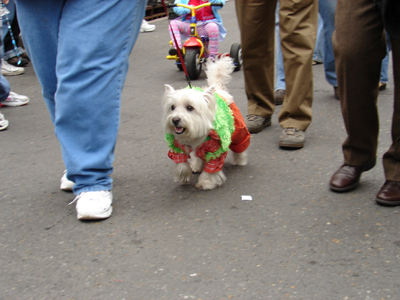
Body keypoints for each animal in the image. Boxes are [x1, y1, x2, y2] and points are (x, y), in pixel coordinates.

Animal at [161, 56, 248, 190]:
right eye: (172, 107)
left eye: (190, 107)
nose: (175, 120)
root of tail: (218, 89)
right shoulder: (177, 146)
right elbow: (181, 162)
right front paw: (183, 176)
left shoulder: (215, 151)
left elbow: (211, 168)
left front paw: (206, 182)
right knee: (198, 155)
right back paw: (197, 166)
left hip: (238, 129)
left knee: (240, 144)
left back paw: (240, 160)